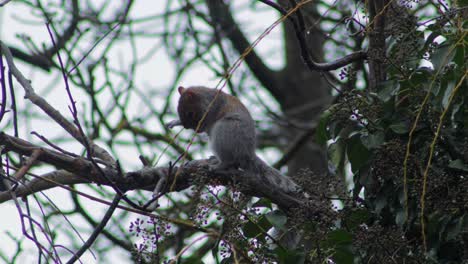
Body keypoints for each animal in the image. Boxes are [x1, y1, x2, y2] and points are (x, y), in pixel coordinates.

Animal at [168, 86, 298, 194]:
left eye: (190, 113)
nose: (186, 127)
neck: (206, 98)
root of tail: (247, 153)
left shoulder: (211, 110)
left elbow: (204, 124)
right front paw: (174, 122)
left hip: (223, 132)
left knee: (229, 161)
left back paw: (217, 166)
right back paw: (215, 159)